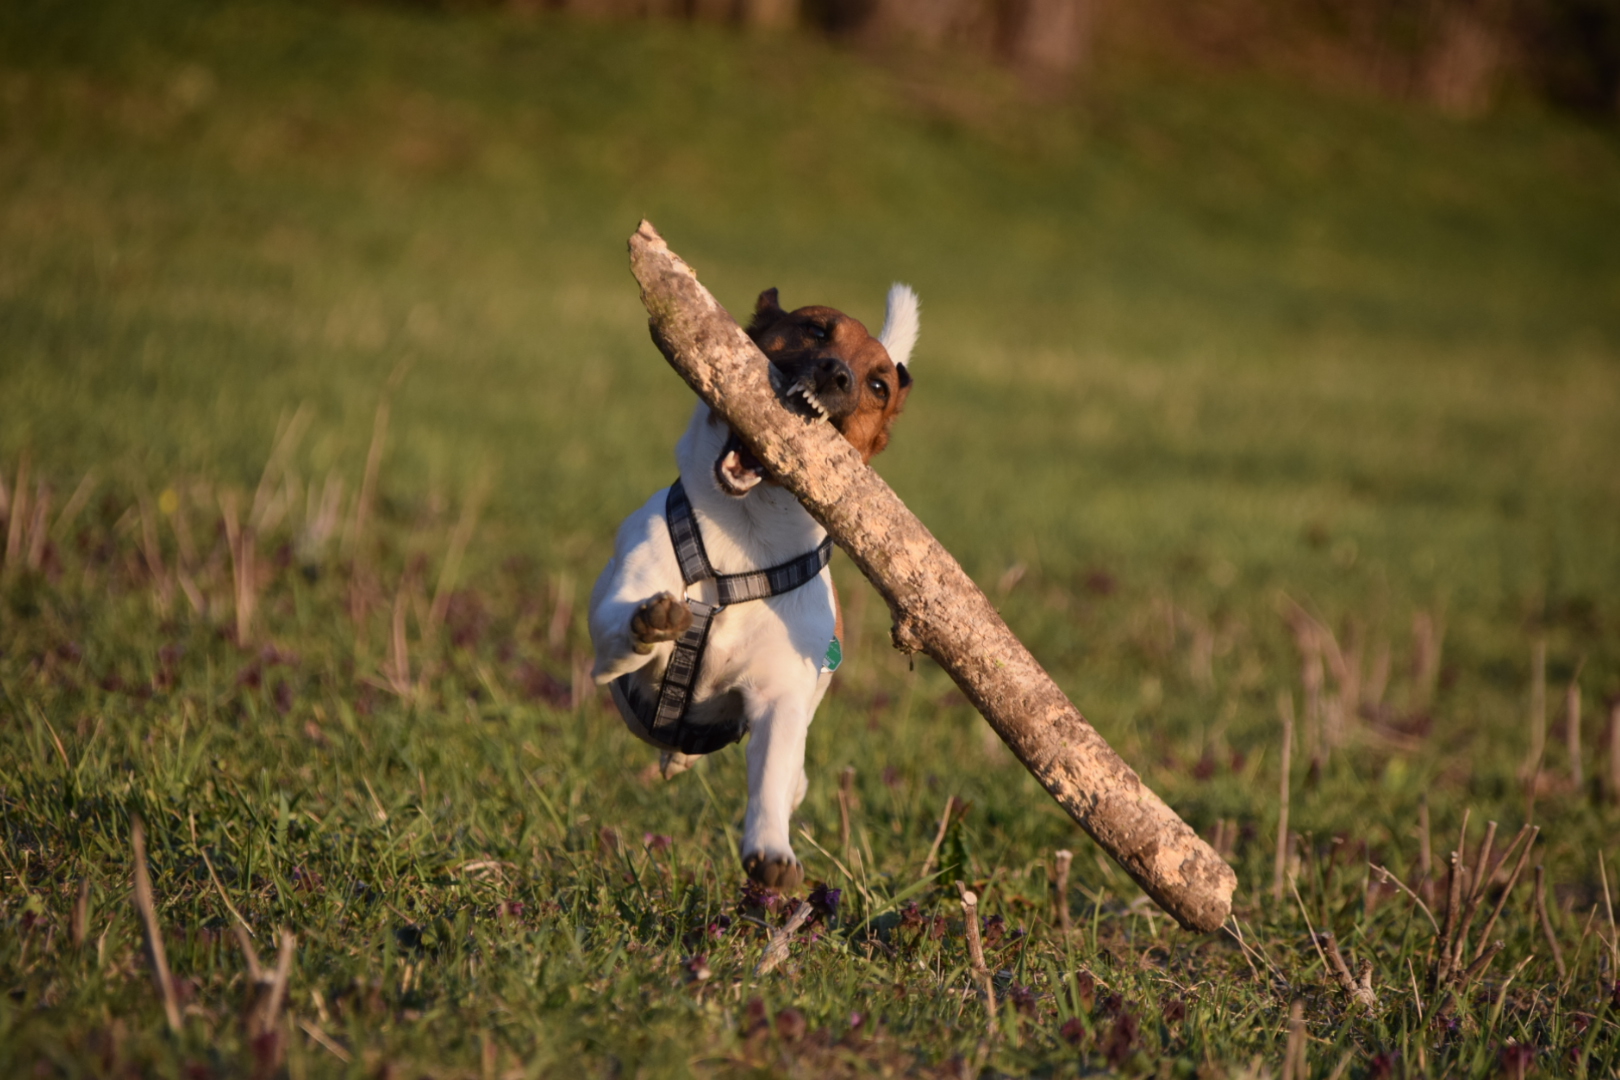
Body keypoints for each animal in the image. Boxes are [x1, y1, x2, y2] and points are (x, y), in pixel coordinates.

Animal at [592, 283, 926, 893]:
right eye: (816, 329)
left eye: (878, 386)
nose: (836, 374)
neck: (744, 542)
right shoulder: (612, 618)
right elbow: (621, 630)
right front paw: (650, 625)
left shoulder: (779, 697)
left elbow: (771, 776)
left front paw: (772, 852)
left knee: (792, 775)